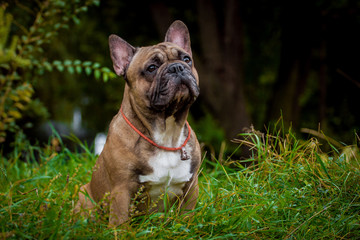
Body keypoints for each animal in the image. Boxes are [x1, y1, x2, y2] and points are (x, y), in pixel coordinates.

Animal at [74, 19, 201, 226]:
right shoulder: (122, 189)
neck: (167, 133)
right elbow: (120, 221)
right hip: (84, 197)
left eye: (186, 59)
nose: (177, 67)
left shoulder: (191, 187)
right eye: (151, 68)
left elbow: (187, 216)